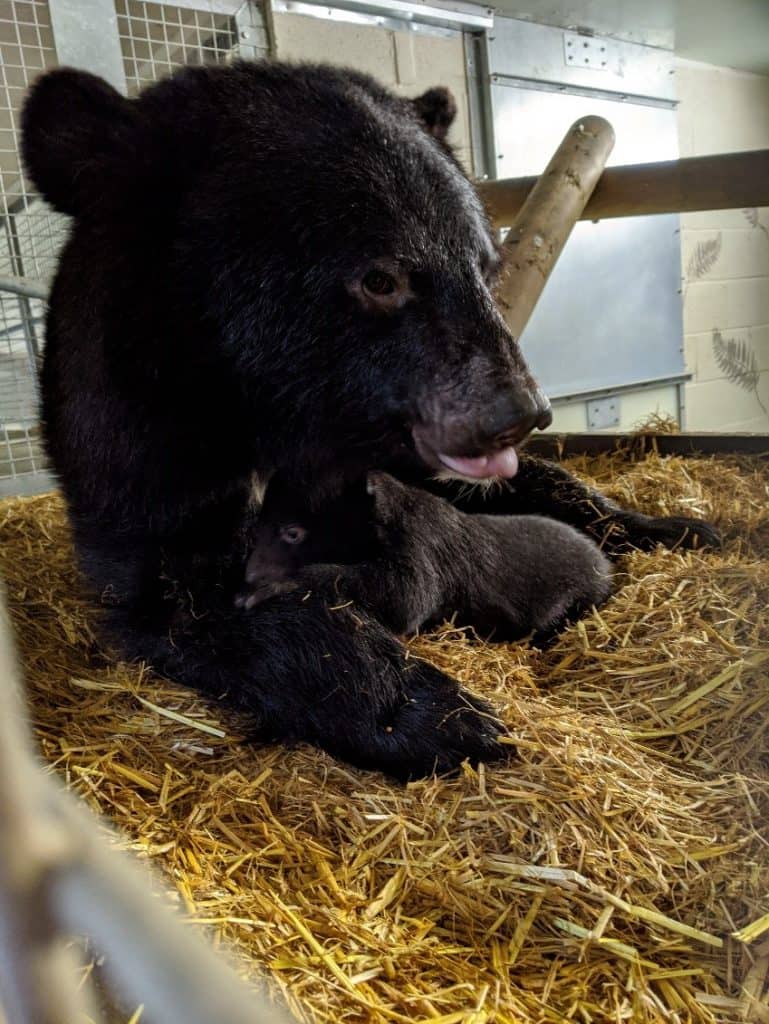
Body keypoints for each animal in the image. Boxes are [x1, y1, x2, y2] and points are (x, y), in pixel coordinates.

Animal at [22, 61, 720, 774]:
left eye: (485, 267)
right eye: (381, 279)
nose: (520, 411)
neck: (284, 413)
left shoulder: (404, 437)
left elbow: (522, 485)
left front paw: (677, 526)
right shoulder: (145, 441)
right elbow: (186, 589)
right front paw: (438, 714)